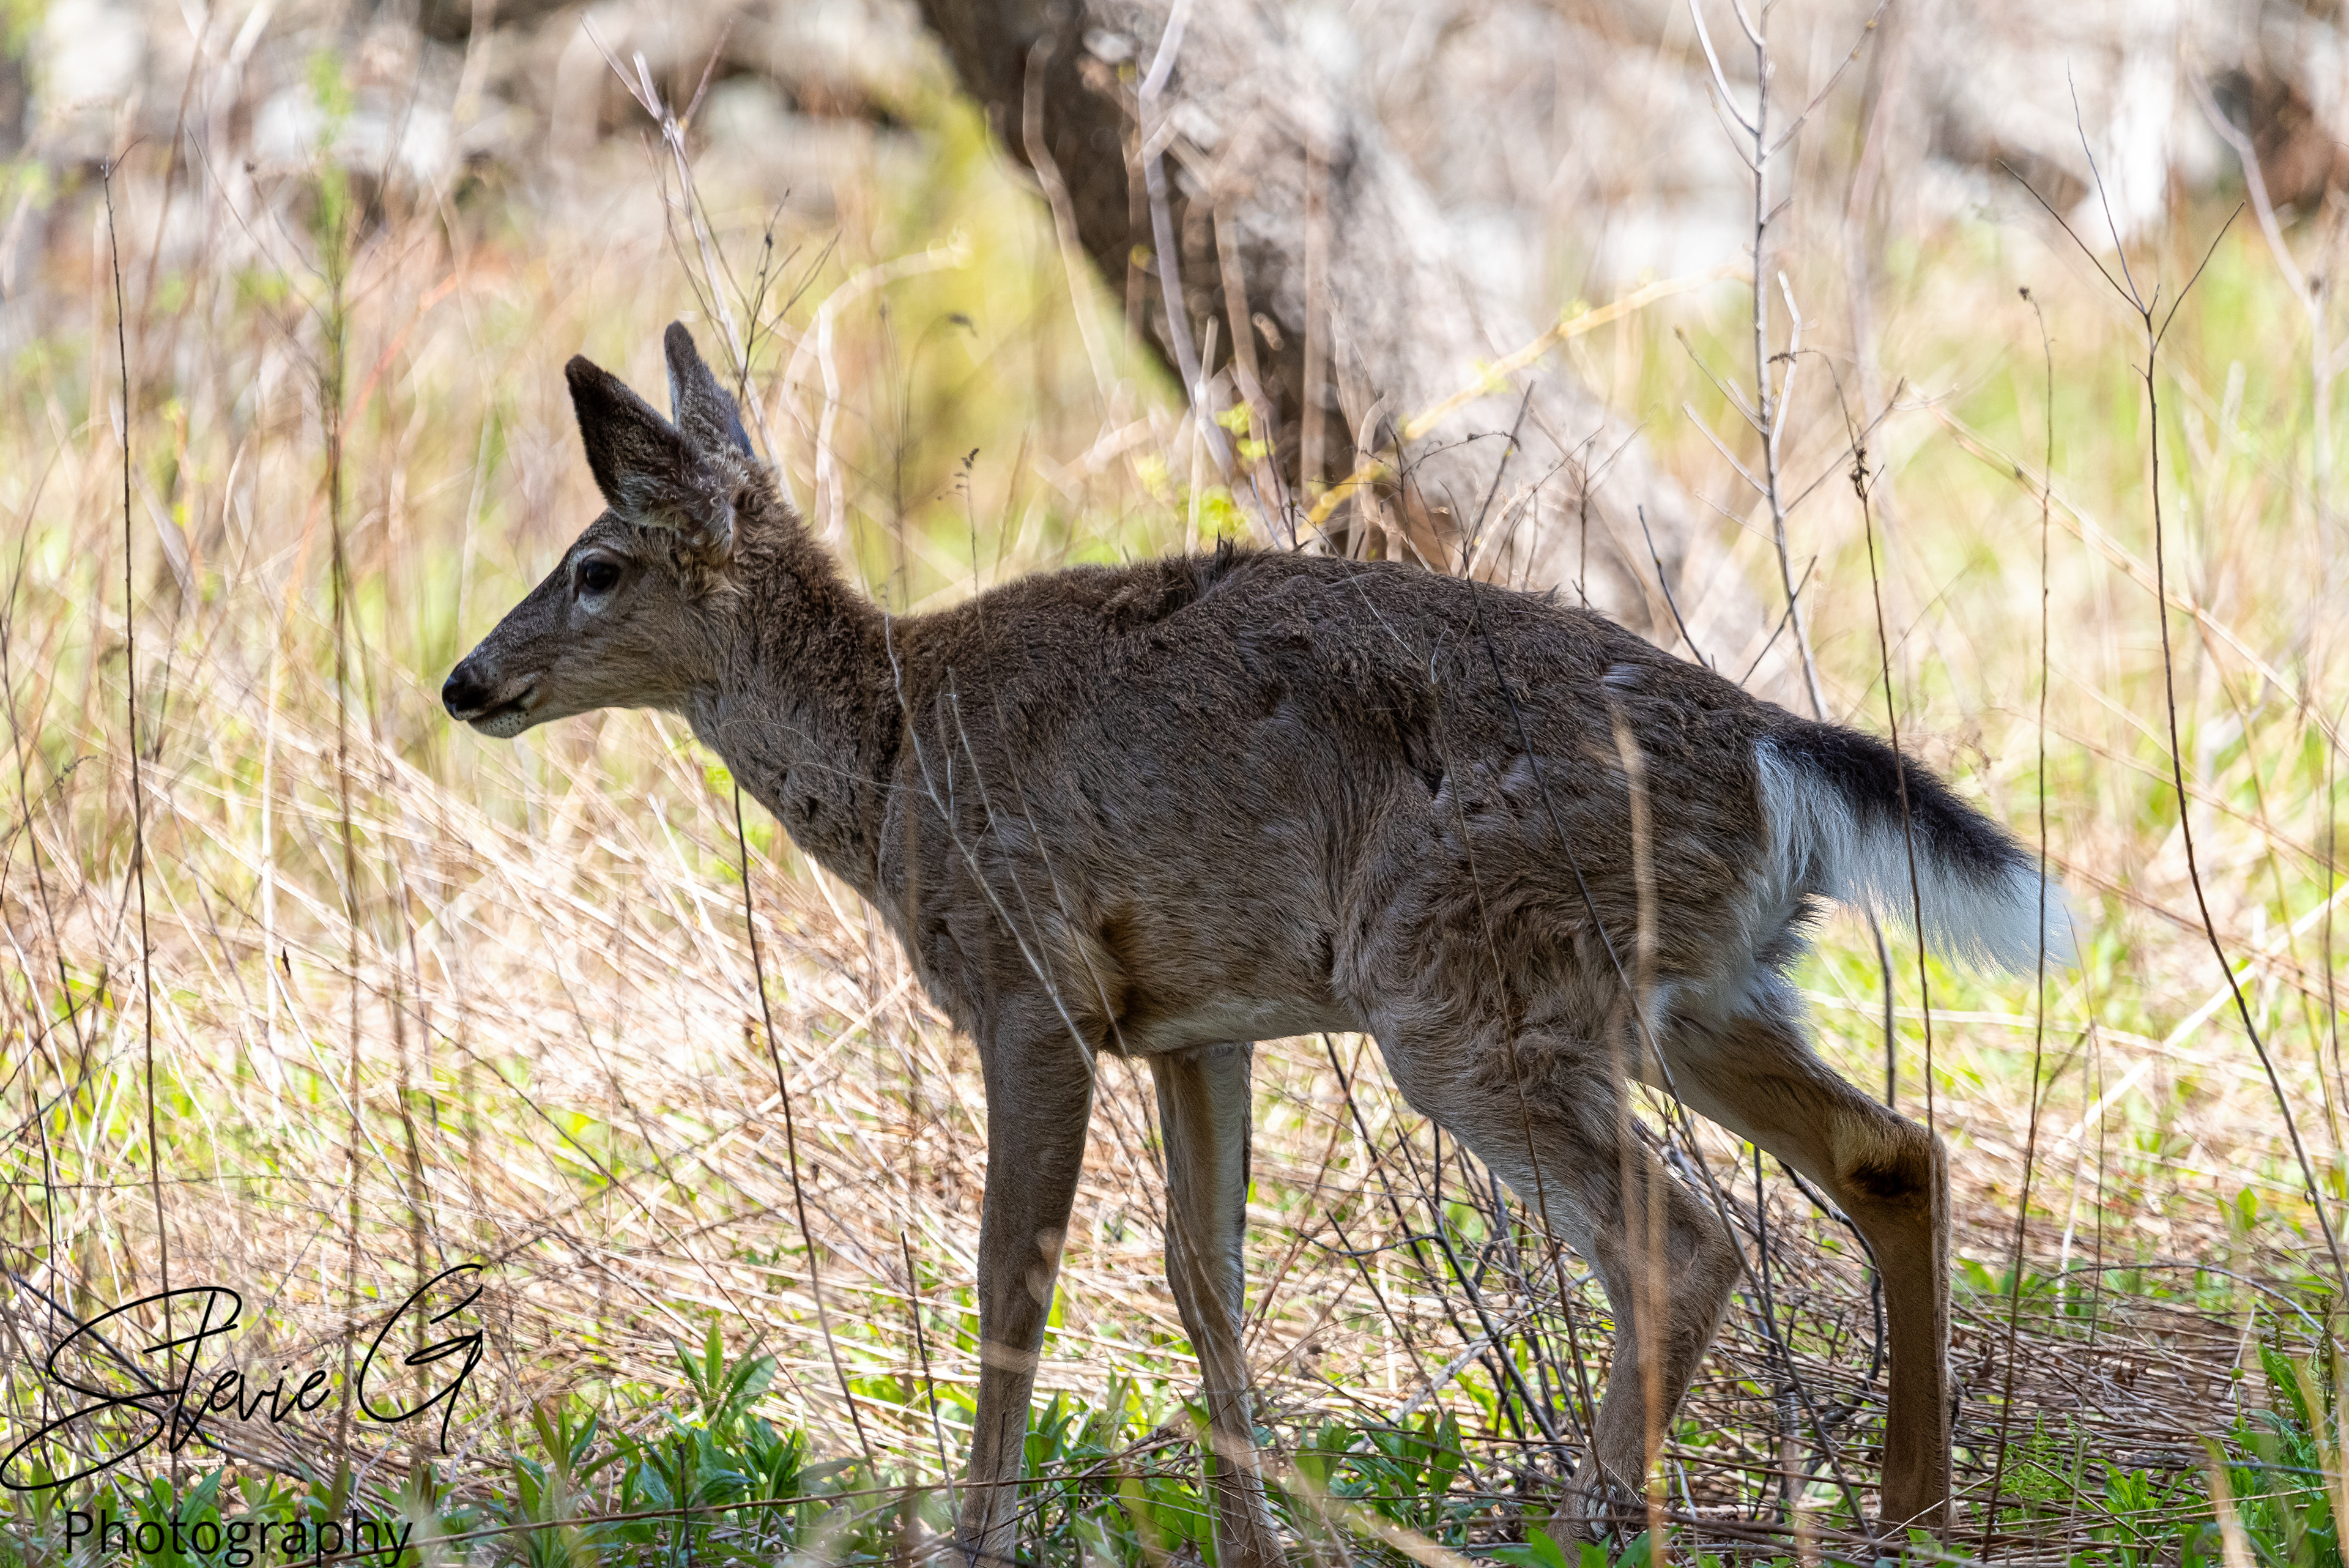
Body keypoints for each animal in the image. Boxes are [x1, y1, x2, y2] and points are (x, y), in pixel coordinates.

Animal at [444, 323, 2073, 1563]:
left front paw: (974, 1538)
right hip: (1699, 993)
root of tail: (1772, 751)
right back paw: (1915, 1512)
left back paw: (1586, 1522)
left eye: (596, 566)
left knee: (1681, 1235)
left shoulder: (1028, 982)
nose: (466, 681)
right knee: (1890, 1152)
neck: (898, 754)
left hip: (1465, 992)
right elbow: (1202, 1276)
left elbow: (1011, 1274)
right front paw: (1251, 1540)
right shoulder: (1192, 1020)